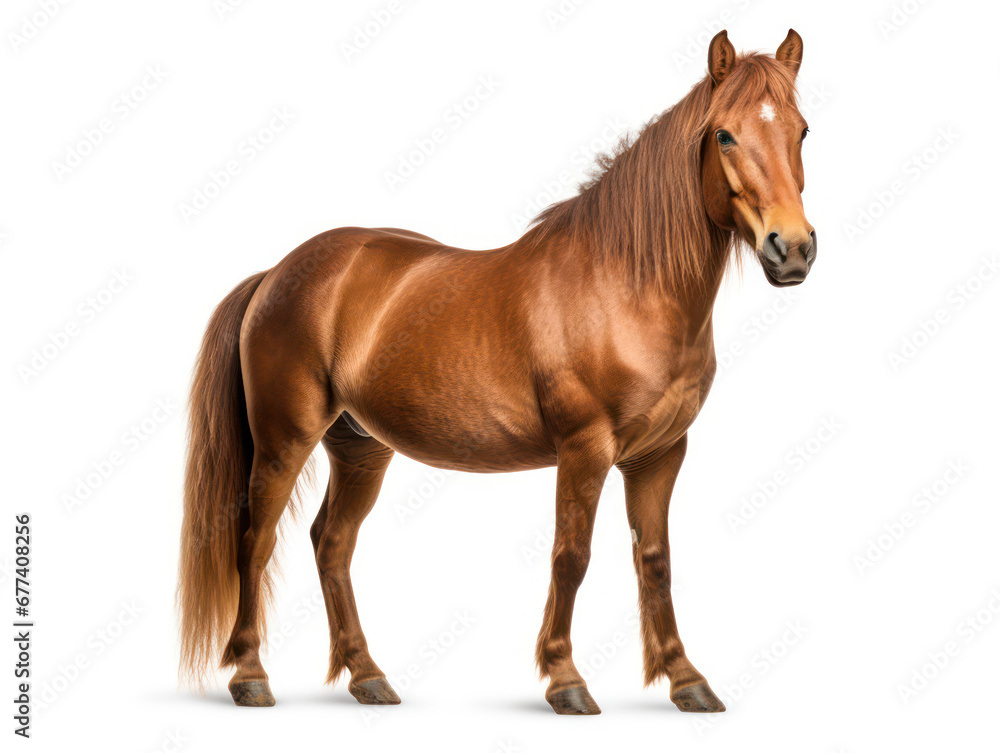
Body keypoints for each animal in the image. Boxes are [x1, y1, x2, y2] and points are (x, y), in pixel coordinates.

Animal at [177, 29, 816, 715]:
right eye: (724, 134)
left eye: (802, 130)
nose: (793, 248)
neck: (625, 286)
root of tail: (276, 272)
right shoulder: (585, 449)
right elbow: (571, 556)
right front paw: (566, 680)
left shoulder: (660, 454)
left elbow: (655, 560)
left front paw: (687, 680)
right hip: (284, 440)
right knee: (255, 540)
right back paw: (250, 676)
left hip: (360, 449)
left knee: (333, 543)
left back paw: (367, 675)